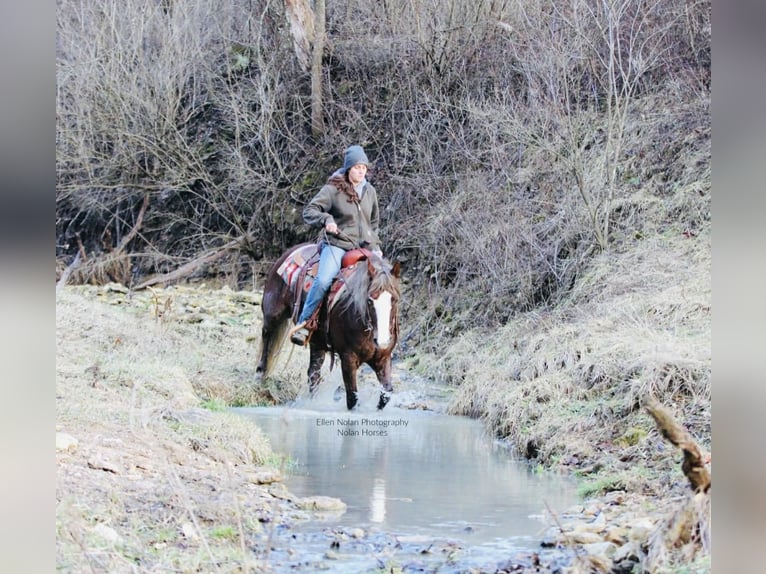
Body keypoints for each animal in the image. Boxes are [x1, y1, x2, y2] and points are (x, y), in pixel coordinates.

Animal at [255, 243, 401, 410]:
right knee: (267, 340)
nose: (382, 341)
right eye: (369, 300)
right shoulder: (348, 358)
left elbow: (386, 394)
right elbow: (352, 398)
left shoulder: (383, 359)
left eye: (394, 299)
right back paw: (259, 376)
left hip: (317, 341)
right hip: (272, 315)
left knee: (313, 374)